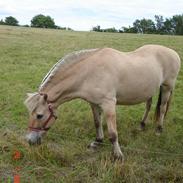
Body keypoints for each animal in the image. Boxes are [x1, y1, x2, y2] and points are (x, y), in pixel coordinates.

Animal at [24, 45, 180, 161]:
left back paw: (159, 129)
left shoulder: (108, 104)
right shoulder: (93, 103)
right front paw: (97, 142)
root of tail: (173, 52)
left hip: (167, 87)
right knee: (148, 105)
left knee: (162, 108)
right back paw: (142, 125)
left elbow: (113, 133)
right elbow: (97, 123)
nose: (29, 141)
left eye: (39, 115)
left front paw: (118, 155)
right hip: (149, 90)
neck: (89, 72)